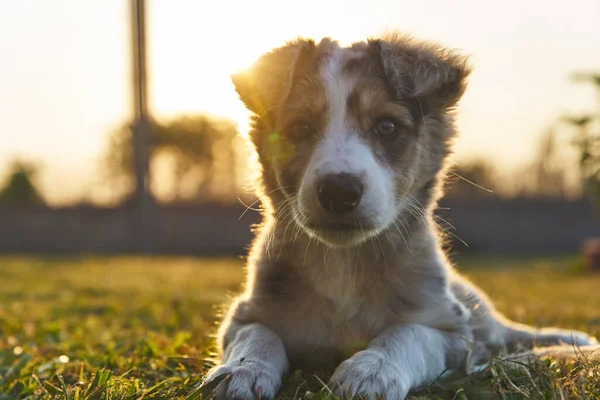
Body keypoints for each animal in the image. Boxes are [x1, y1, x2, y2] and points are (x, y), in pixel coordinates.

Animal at [204, 32, 596, 398]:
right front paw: (241, 370)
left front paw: (372, 370)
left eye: (387, 127)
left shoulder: (451, 331)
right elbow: (257, 335)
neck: (345, 265)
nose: (339, 191)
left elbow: (407, 333)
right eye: (299, 128)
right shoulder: (244, 313)